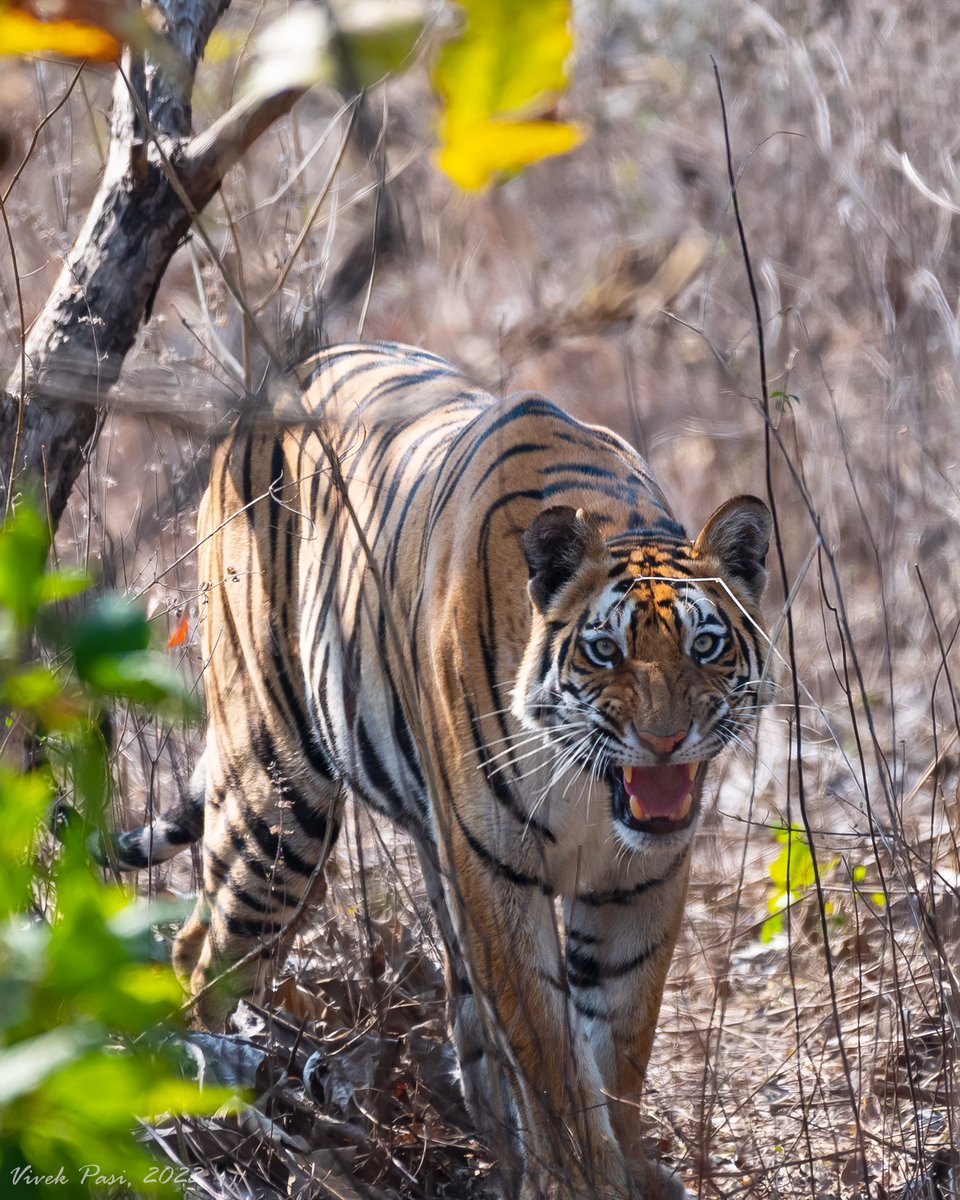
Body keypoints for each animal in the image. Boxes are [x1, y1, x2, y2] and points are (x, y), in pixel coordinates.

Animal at [110, 342, 771, 1200]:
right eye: (604, 651)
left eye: (705, 646)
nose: (665, 742)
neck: (592, 790)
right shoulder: (497, 870)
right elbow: (552, 1056)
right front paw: (581, 1178)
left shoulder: (640, 879)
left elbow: (618, 1042)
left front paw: (624, 1165)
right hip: (277, 799)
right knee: (203, 955)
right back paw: (223, 1125)